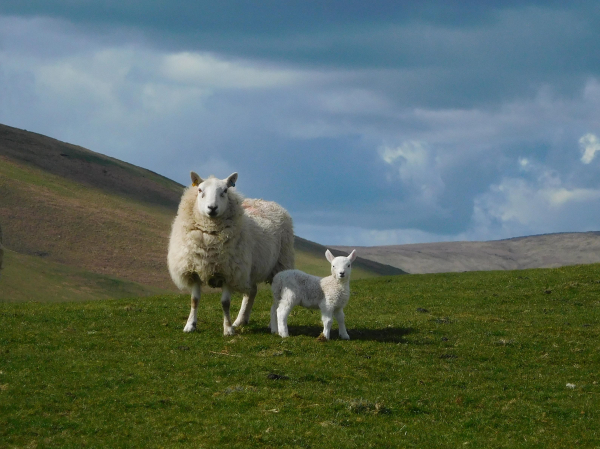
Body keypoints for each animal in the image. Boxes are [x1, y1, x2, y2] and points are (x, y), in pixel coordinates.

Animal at [168, 170, 294, 334]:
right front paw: (190, 325)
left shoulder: (230, 272)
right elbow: (194, 300)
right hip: (249, 270)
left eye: (225, 191)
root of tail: (267, 202)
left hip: (279, 264)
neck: (209, 239)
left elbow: (225, 303)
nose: (212, 208)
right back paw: (241, 320)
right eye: (200, 190)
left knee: (275, 297)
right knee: (251, 291)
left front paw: (227, 329)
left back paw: (273, 325)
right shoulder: (194, 270)